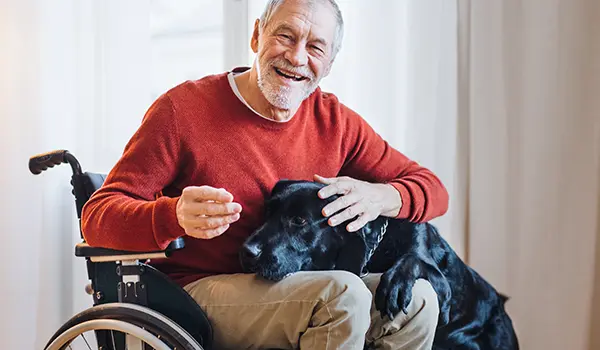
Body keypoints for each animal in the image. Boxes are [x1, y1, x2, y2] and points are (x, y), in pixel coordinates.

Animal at [240, 180, 520, 350]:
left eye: (299, 220)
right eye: (267, 213)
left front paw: (394, 285)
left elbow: (412, 259)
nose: (247, 251)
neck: (380, 246)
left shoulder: (440, 281)